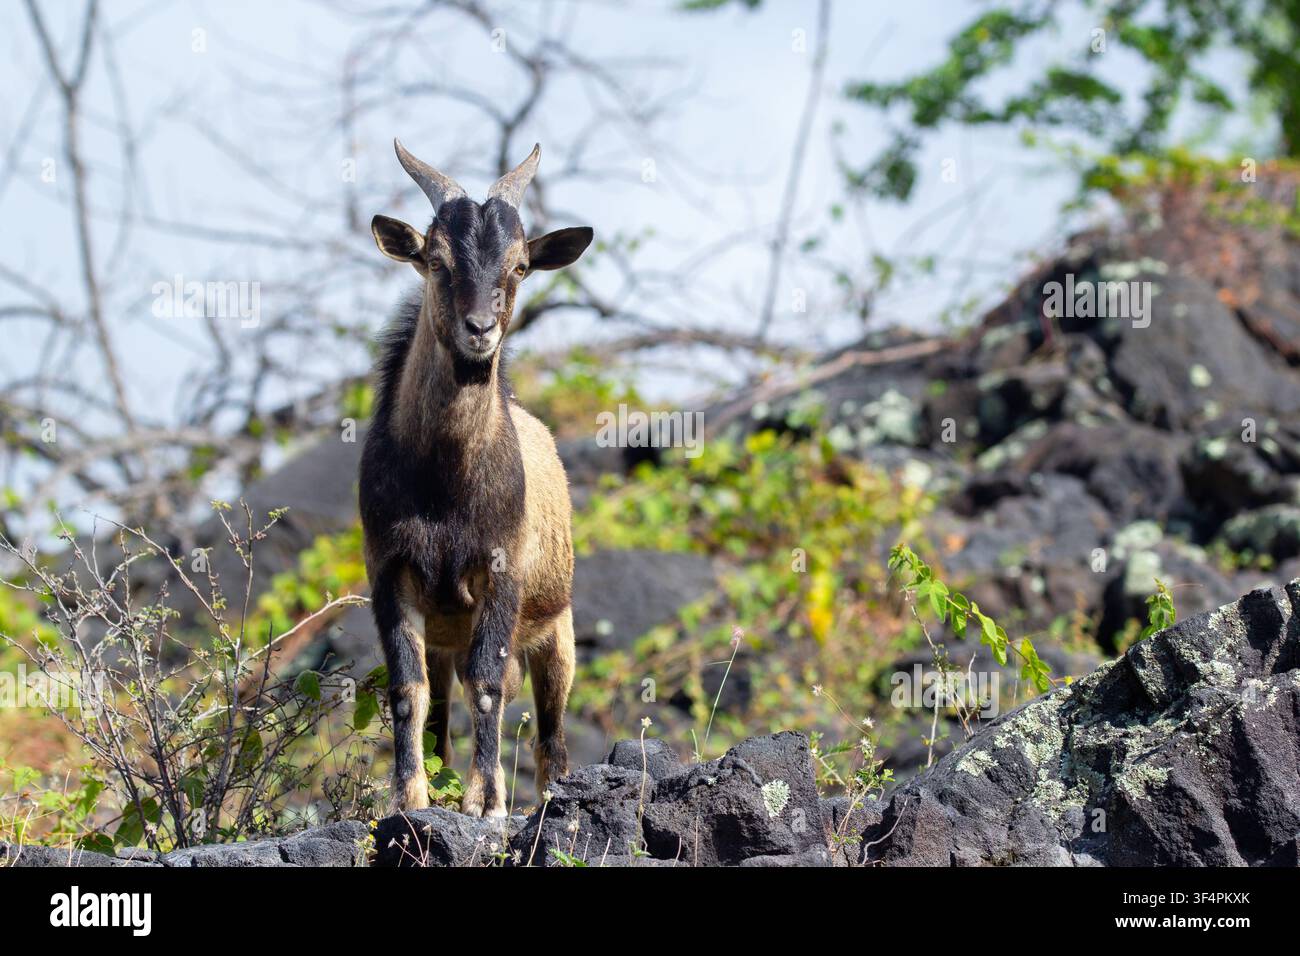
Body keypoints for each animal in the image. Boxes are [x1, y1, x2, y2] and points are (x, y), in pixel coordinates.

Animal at [360, 139, 593, 817]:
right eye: (436, 262)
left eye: (519, 266)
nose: (480, 330)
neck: (445, 489)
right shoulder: (391, 572)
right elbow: (406, 692)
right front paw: (408, 798)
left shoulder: (500, 572)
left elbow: (488, 686)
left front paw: (485, 801)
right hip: (447, 635)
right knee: (439, 711)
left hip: (556, 630)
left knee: (550, 733)